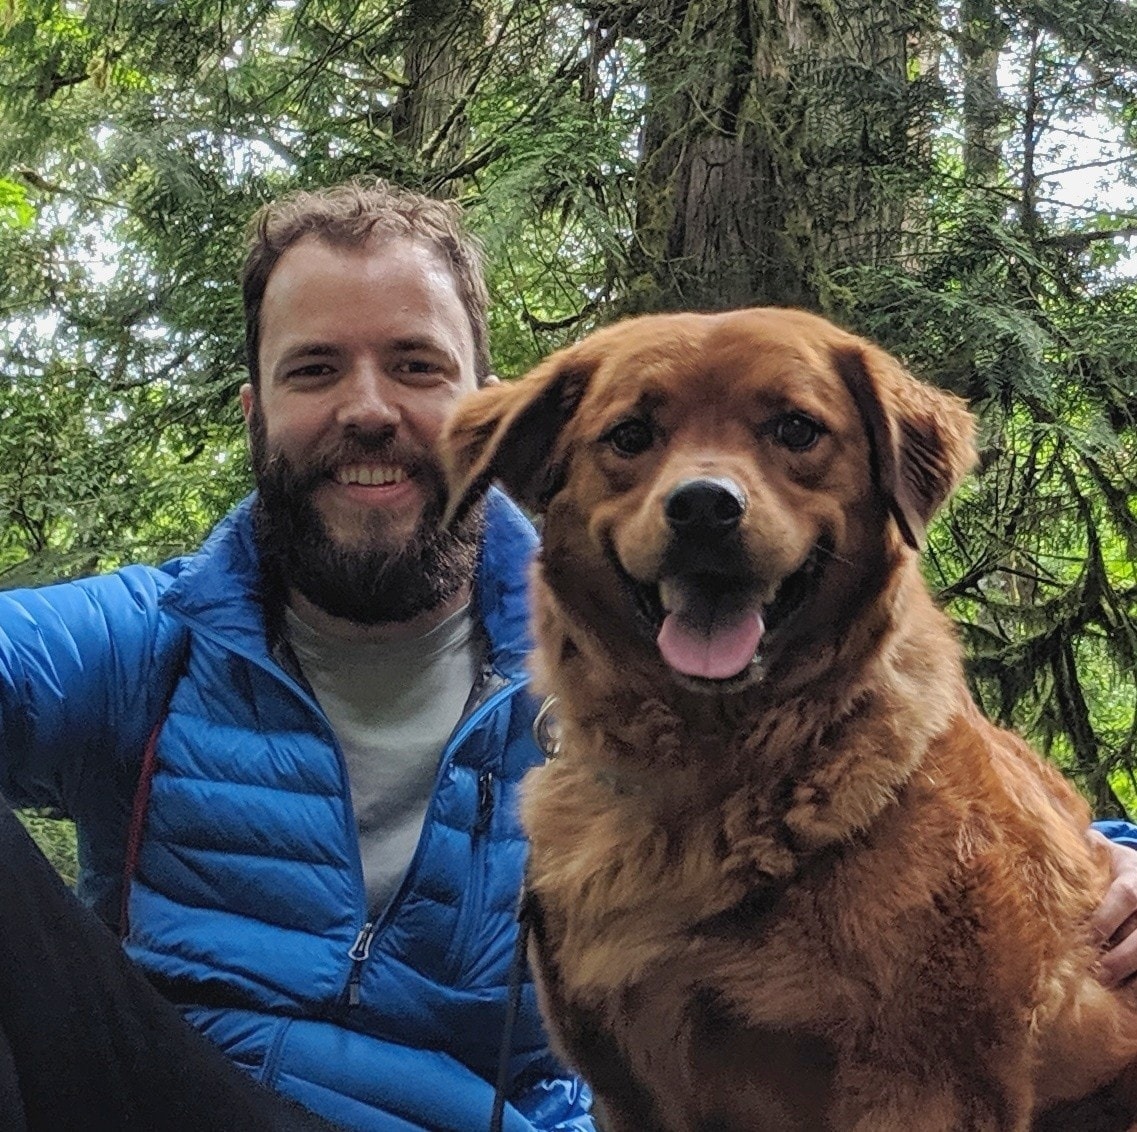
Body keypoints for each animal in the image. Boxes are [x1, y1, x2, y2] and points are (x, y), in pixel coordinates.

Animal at [441, 309, 1137, 1132]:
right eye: (630, 435)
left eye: (796, 429)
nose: (703, 505)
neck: (711, 772)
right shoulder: (623, 1087)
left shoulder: (923, 1088)